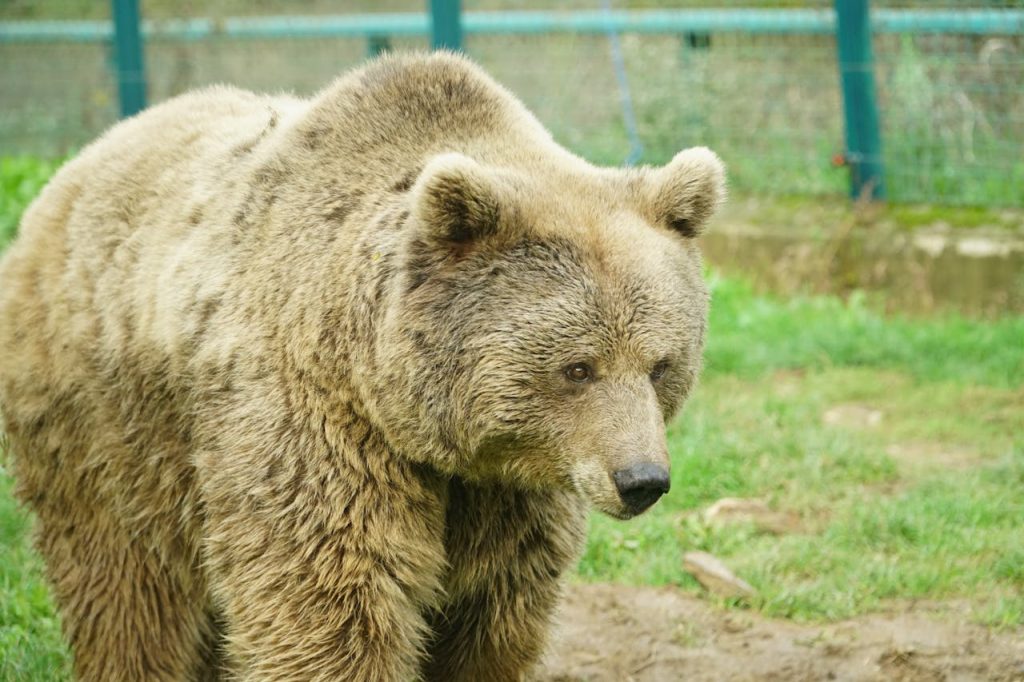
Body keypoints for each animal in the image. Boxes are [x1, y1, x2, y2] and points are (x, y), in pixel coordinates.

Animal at [0, 52, 725, 681]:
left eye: (660, 365)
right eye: (578, 367)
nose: (642, 480)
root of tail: (77, 167)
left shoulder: (508, 495)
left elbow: (490, 615)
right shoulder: (315, 420)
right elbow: (327, 599)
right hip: (106, 422)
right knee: (126, 584)